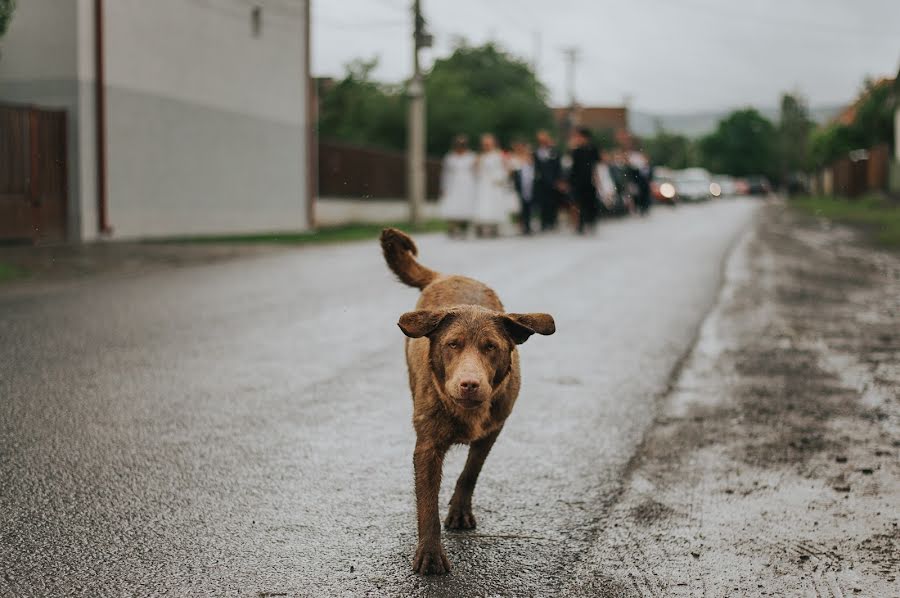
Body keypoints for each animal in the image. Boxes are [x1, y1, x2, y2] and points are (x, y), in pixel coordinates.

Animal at [380, 229, 556, 576]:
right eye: (452, 344)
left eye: (491, 347)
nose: (470, 384)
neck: (467, 410)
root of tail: (447, 275)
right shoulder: (427, 444)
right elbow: (427, 502)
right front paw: (430, 553)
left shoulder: (493, 429)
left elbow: (471, 471)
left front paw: (459, 510)